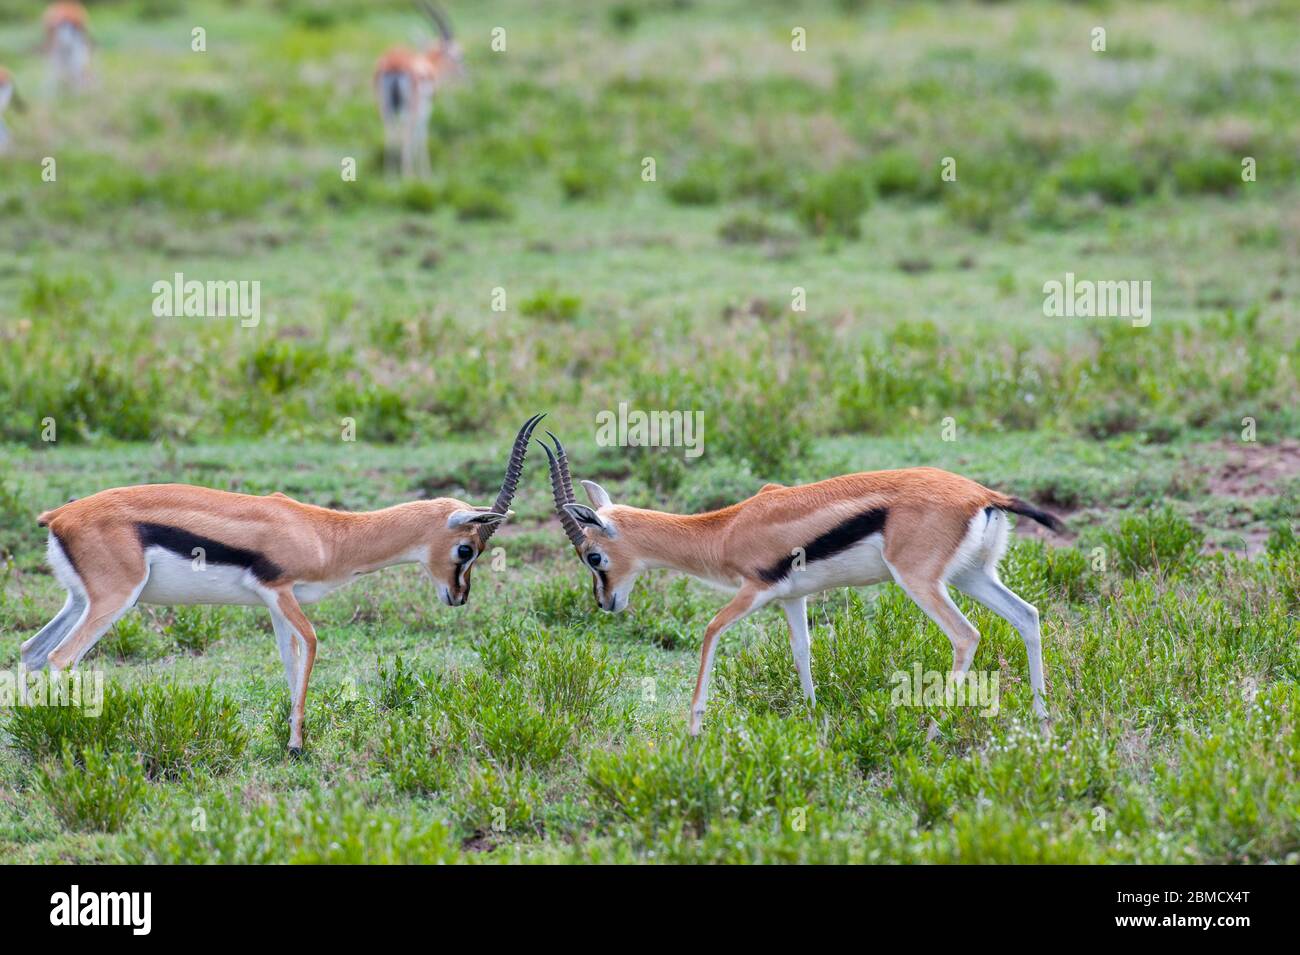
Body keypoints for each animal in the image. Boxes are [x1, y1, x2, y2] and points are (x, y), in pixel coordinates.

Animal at [20, 415, 545, 753]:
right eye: (467, 549)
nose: (459, 597)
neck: (325, 534)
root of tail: (60, 516)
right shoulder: (282, 592)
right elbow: (311, 645)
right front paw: (296, 745)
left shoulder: (274, 606)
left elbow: (289, 662)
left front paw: (289, 741)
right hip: (113, 601)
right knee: (61, 658)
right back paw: (68, 737)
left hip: (79, 600)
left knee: (31, 652)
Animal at [374, 1, 464, 178]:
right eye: (458, 56)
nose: (465, 74)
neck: (428, 64)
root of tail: (394, 64)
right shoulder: (425, 109)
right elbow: (421, 134)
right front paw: (426, 174)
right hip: (410, 108)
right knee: (406, 131)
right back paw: (407, 175)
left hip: (385, 107)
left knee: (390, 131)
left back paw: (389, 175)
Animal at [541, 433, 1065, 736]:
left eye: (593, 556)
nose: (606, 603)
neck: (727, 530)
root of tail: (983, 494)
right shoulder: (793, 598)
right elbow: (802, 651)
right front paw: (813, 716)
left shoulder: (752, 592)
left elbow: (710, 631)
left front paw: (693, 727)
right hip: (972, 576)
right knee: (1028, 616)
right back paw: (1042, 720)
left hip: (921, 582)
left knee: (966, 636)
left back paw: (932, 727)